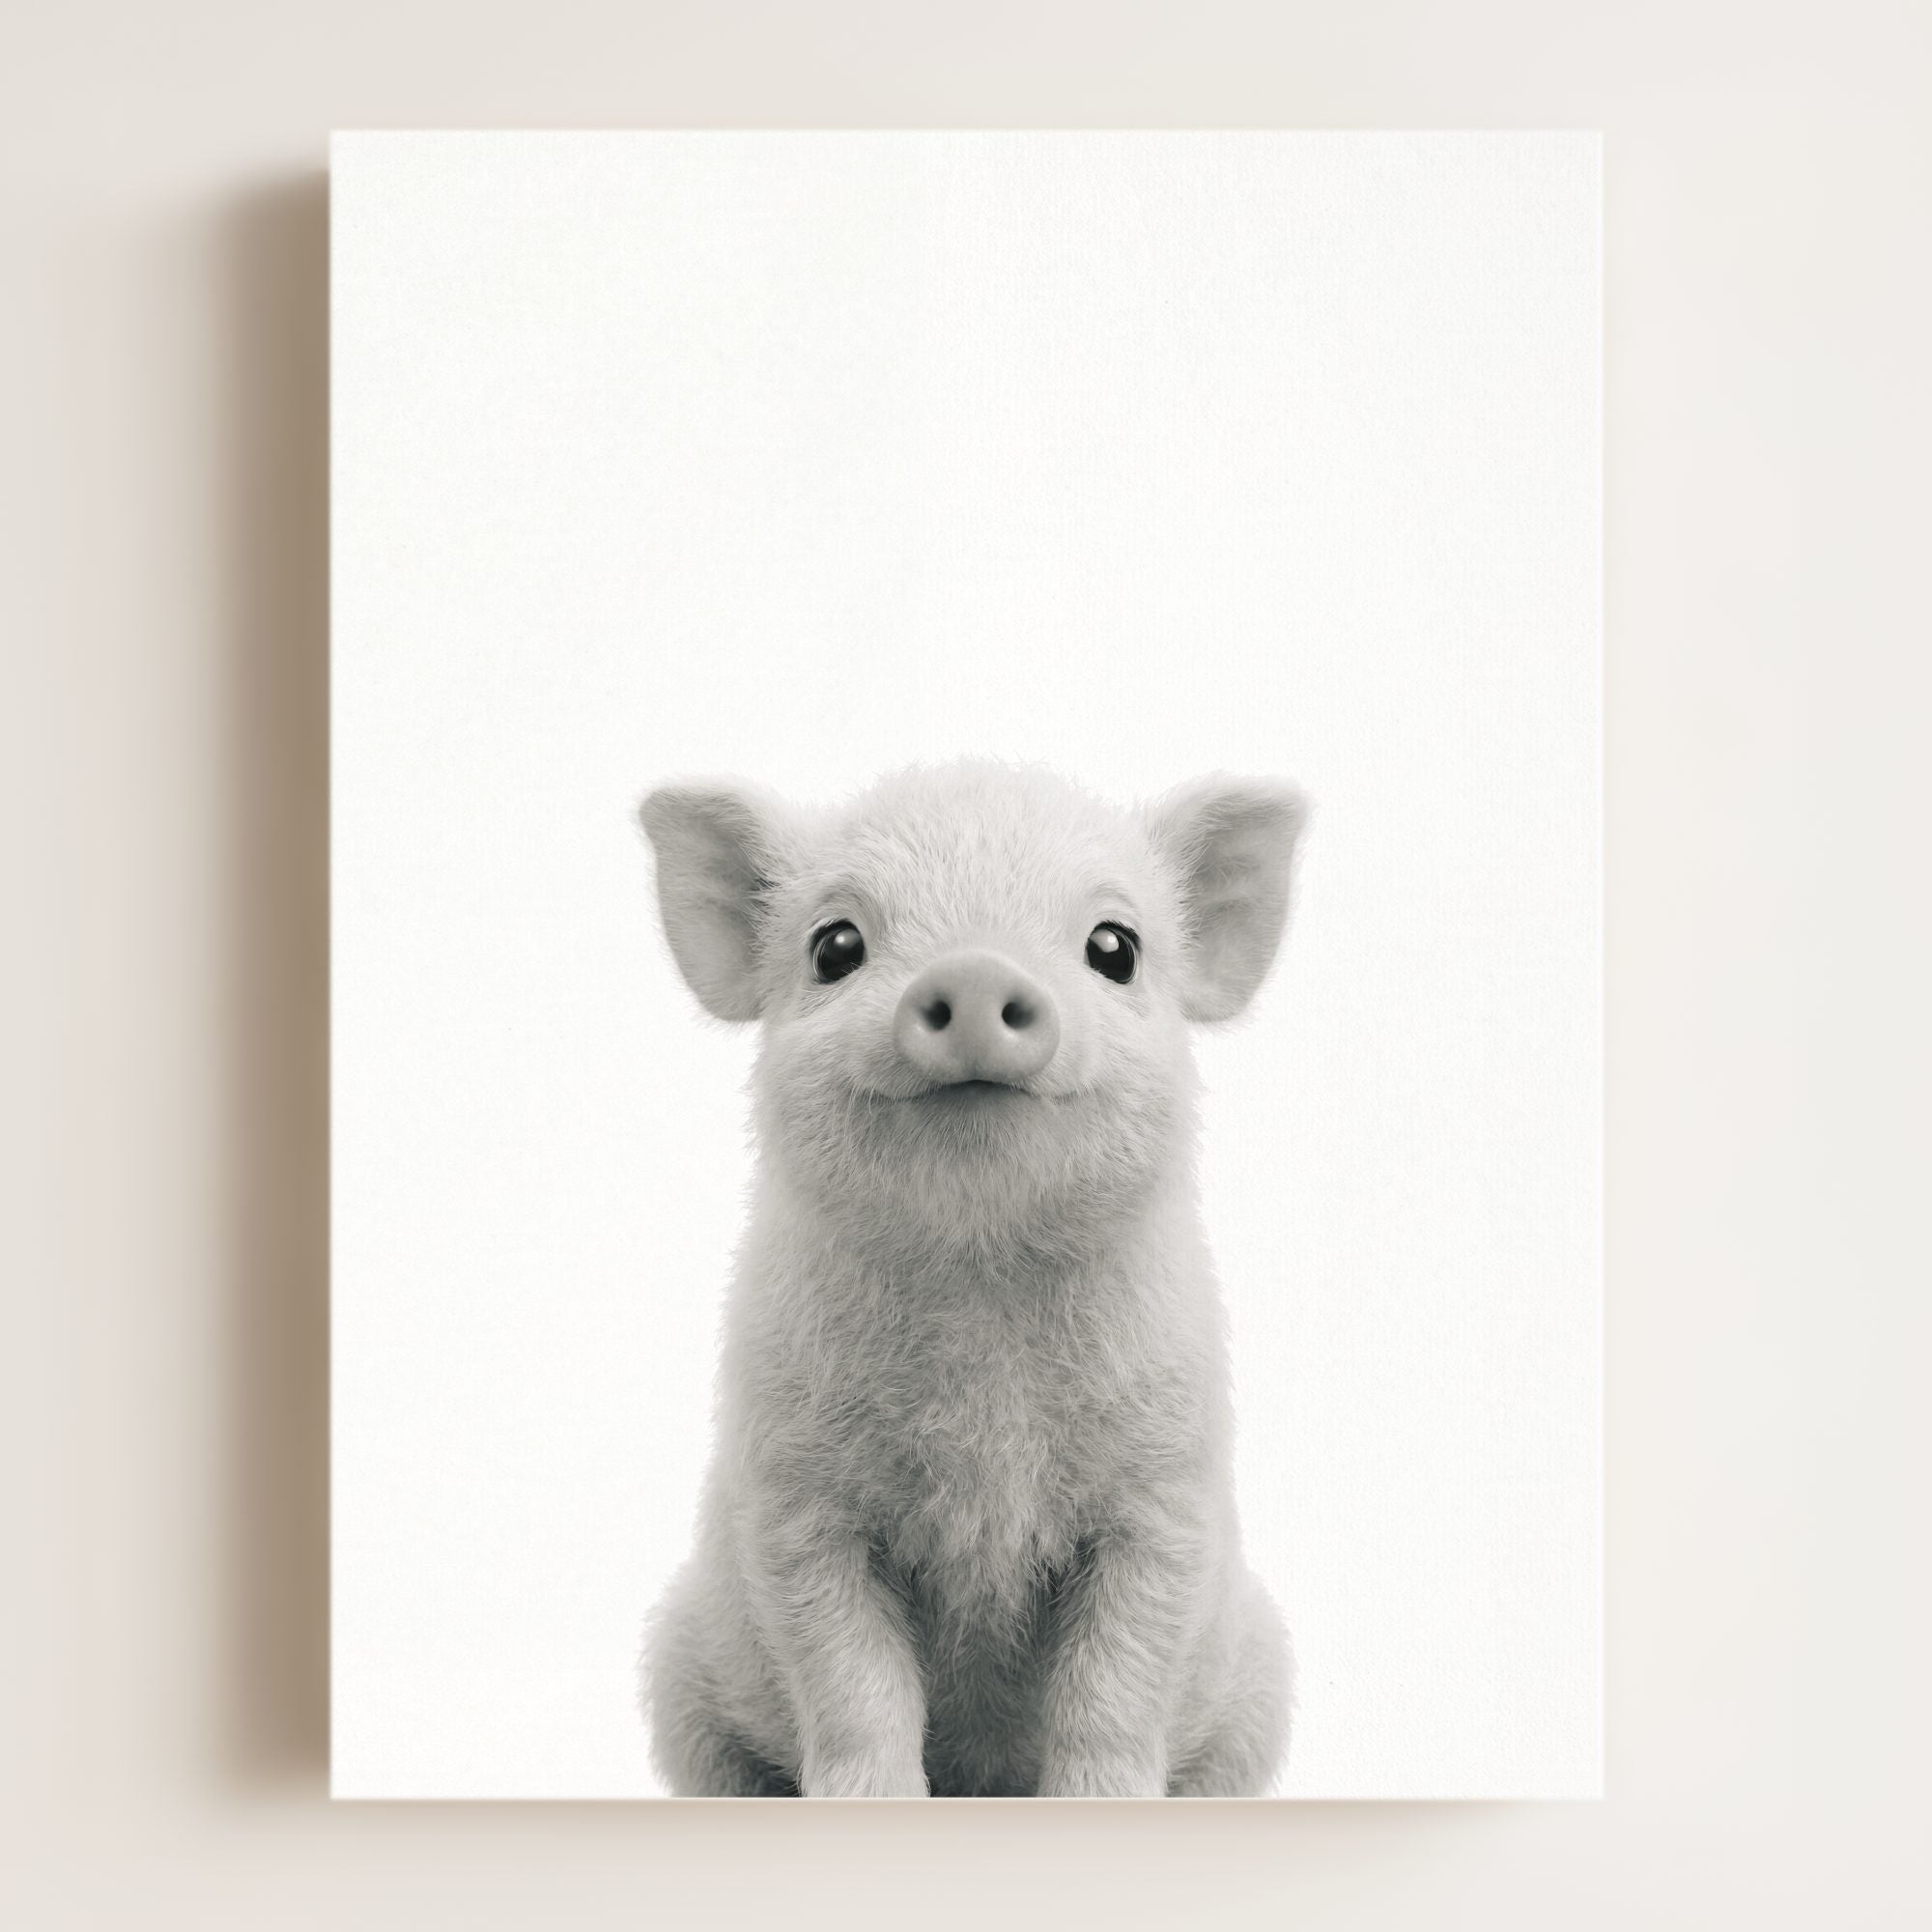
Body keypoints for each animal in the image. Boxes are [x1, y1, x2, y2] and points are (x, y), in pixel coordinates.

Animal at [636, 759, 1307, 1797]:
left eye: (1115, 948)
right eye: (835, 947)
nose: (977, 968)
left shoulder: (1166, 1492)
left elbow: (1116, 1687)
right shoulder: (793, 1498)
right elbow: (852, 1685)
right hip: (680, 1681)